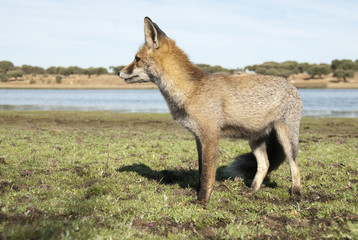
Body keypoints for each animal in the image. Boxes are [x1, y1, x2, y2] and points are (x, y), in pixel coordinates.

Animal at [117, 16, 302, 204]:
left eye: (137, 59)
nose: (118, 72)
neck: (190, 90)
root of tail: (291, 85)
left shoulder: (210, 136)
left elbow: (207, 175)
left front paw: (202, 201)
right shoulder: (199, 137)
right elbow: (201, 171)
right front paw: (197, 192)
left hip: (287, 138)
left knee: (295, 167)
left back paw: (296, 194)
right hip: (255, 139)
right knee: (265, 164)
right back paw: (252, 190)